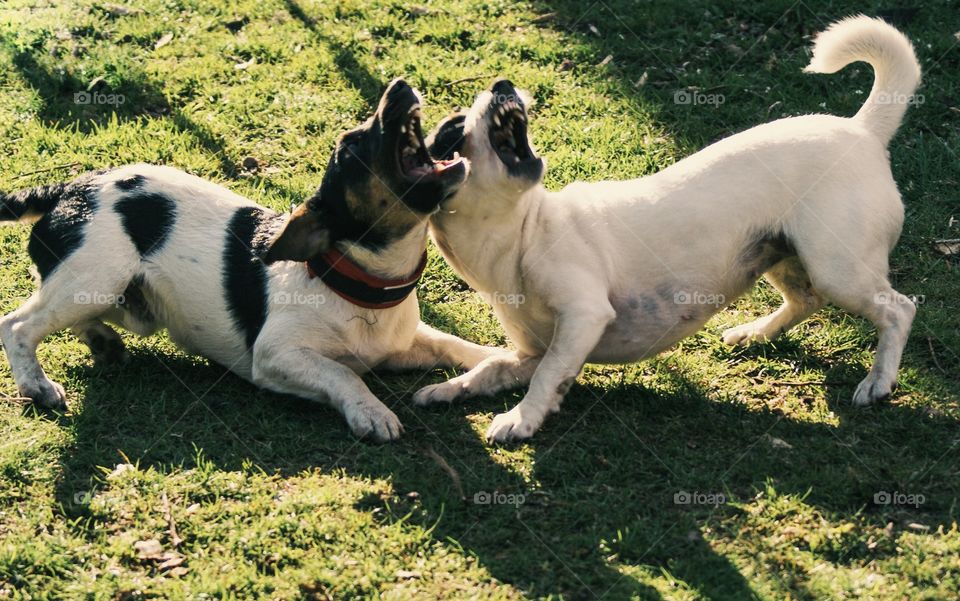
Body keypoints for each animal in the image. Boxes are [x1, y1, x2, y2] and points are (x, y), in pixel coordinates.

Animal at [0, 78, 496, 440]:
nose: (399, 85)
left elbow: (452, 344)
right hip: (98, 277)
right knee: (18, 325)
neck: (365, 289)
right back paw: (36, 386)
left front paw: (498, 360)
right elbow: (342, 373)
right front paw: (370, 410)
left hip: (129, 303)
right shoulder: (277, 357)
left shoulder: (403, 343)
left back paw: (102, 341)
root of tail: (66, 188)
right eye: (352, 148)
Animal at [414, 16, 924, 442]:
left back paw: (878, 381)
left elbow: (546, 378)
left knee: (898, 310)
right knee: (806, 299)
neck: (524, 232)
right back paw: (754, 333)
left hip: (837, 267)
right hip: (783, 253)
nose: (501, 84)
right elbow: (494, 367)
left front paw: (520, 418)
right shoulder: (532, 352)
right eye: (453, 133)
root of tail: (863, 131)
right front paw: (451, 389)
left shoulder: (582, 319)